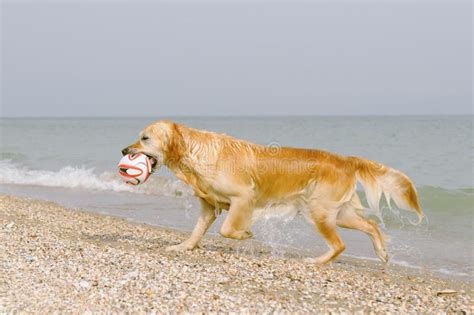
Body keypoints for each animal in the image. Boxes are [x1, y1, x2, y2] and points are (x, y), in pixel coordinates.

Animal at [121, 120, 422, 264]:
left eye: (145, 138)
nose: (124, 150)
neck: (195, 152)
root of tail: (346, 159)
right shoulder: (208, 206)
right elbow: (197, 231)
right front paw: (183, 246)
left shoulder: (244, 197)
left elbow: (228, 229)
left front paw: (245, 234)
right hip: (340, 213)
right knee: (371, 225)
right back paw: (382, 253)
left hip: (320, 210)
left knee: (340, 244)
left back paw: (316, 261)